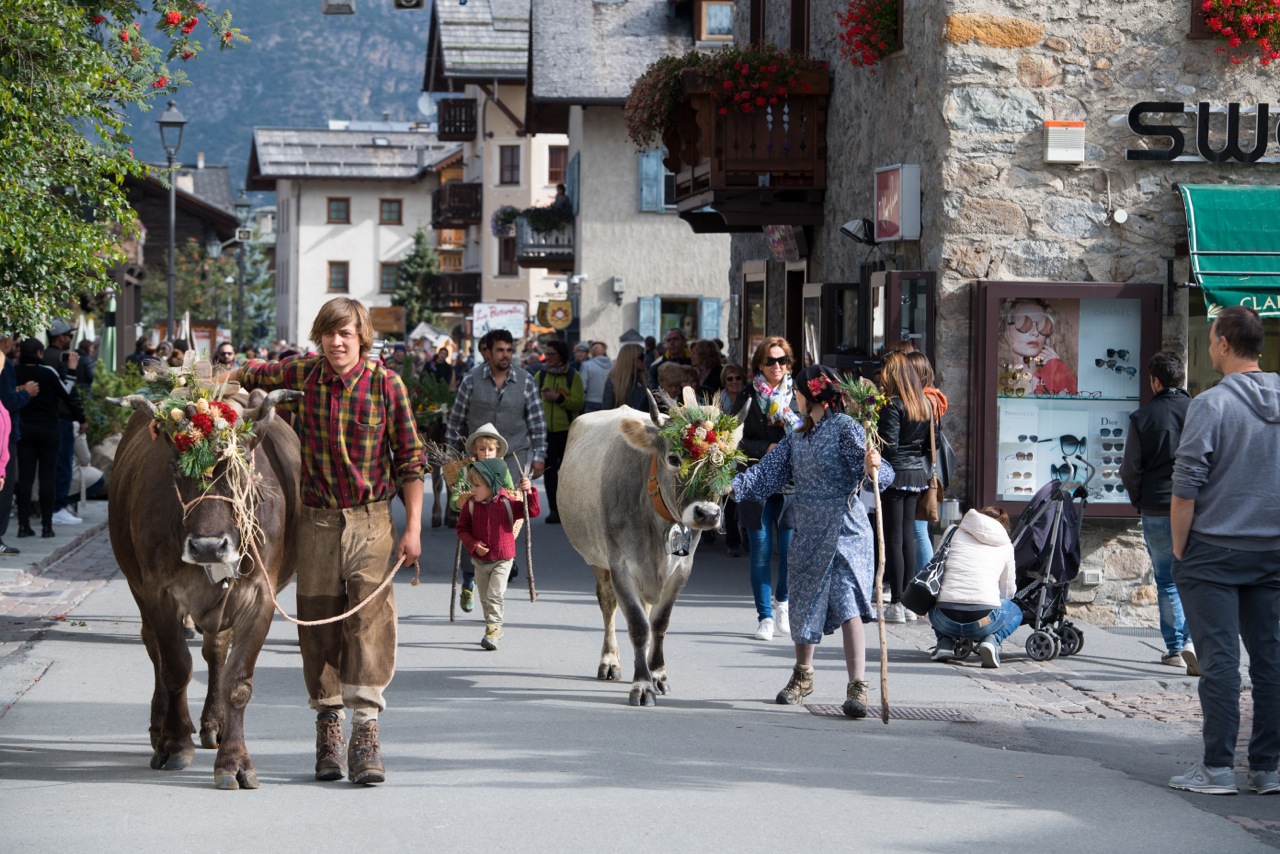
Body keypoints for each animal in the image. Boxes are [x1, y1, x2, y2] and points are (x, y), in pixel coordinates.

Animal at [108, 388, 301, 789]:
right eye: (175, 469)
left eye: (240, 467)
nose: (209, 547)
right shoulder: (159, 594)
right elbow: (175, 668)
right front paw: (175, 743)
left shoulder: (260, 598)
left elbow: (237, 681)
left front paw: (235, 760)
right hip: (138, 588)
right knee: (154, 649)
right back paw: (159, 727)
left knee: (215, 652)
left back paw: (216, 723)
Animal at [558, 390, 743, 706]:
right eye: (674, 458)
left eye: (725, 462)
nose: (707, 513)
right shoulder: (620, 565)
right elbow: (637, 623)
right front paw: (642, 684)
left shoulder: (682, 568)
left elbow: (658, 622)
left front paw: (657, 674)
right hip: (598, 560)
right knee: (608, 604)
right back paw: (610, 661)